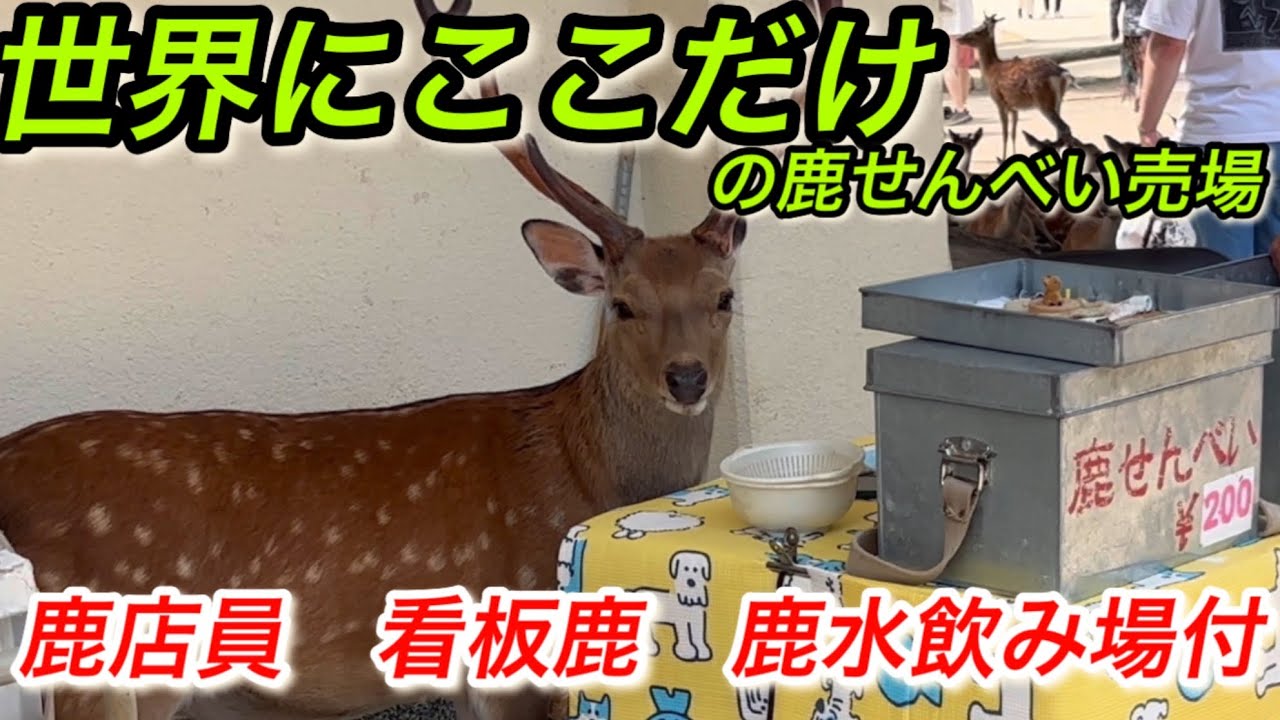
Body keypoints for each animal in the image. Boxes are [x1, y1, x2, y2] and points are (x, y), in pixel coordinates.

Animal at [955, 14, 1075, 160]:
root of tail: (1063, 73)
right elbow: (1013, 133)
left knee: (1064, 128)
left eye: (978, 30)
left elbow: (1005, 133)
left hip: (1044, 101)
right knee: (1059, 130)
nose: (959, 38)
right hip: (1058, 101)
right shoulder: (1014, 108)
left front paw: (1002, 158)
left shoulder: (1000, 102)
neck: (991, 70)